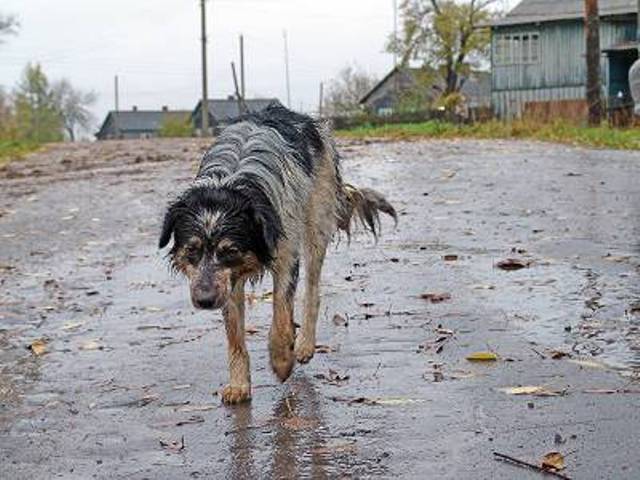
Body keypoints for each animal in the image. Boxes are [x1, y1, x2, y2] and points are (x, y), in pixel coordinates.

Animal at [159, 105, 396, 404]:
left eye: (230, 250)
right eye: (192, 250)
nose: (204, 300)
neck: (237, 180)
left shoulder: (285, 254)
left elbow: (282, 316)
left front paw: (282, 361)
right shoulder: (226, 281)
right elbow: (234, 334)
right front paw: (239, 384)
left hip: (317, 223)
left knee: (313, 290)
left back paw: (305, 345)